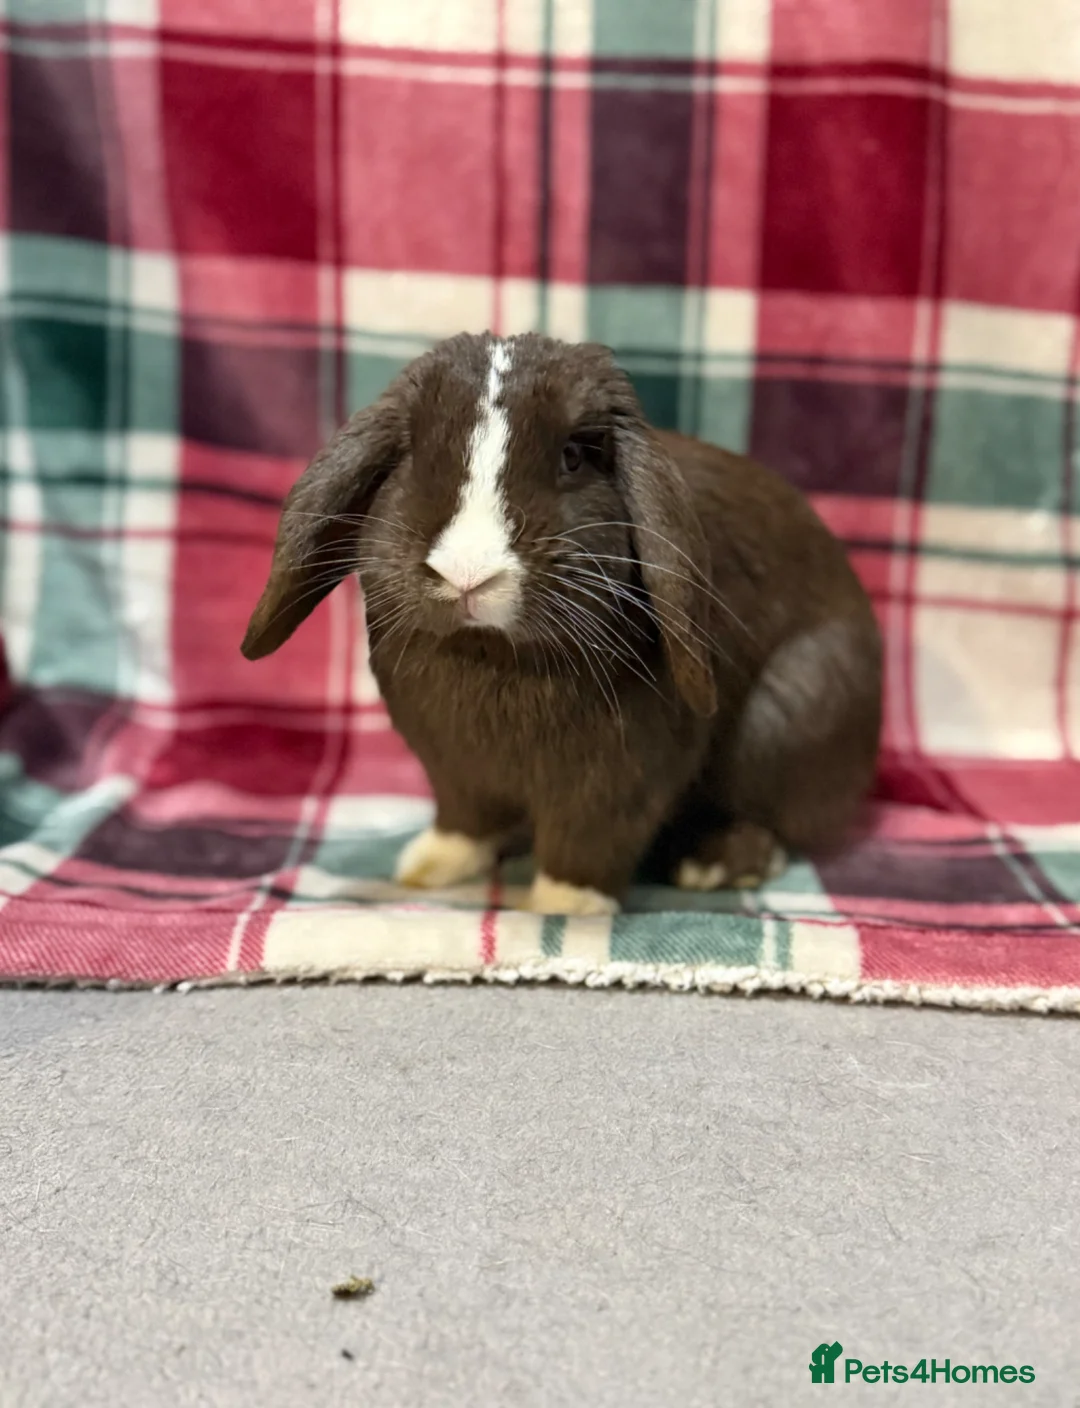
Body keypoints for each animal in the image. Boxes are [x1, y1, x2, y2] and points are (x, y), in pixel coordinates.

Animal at [242, 332, 882, 916]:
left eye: (573, 456)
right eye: (413, 456)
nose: (468, 572)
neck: (491, 655)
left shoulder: (619, 776)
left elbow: (591, 838)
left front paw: (564, 904)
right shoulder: (453, 767)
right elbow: (465, 818)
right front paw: (429, 865)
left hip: (793, 711)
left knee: (778, 819)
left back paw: (712, 863)